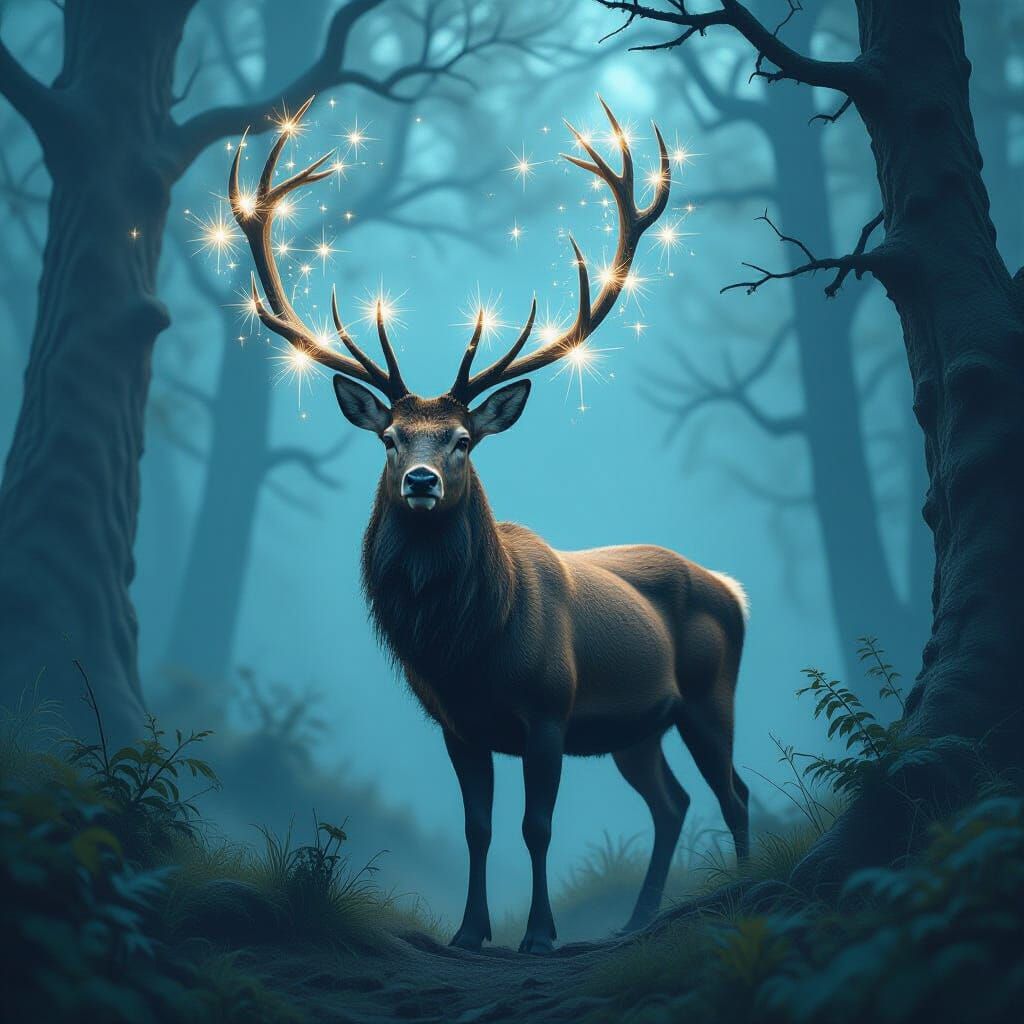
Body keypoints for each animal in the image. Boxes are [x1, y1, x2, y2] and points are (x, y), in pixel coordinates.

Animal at [229, 97, 750, 955]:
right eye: (391, 436)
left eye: (462, 439)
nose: (421, 482)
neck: (469, 646)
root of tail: (734, 588)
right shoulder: (458, 723)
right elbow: (478, 827)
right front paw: (470, 932)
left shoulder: (549, 709)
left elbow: (537, 827)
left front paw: (537, 934)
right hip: (637, 727)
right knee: (670, 802)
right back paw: (636, 920)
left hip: (710, 694)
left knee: (731, 790)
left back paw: (737, 889)